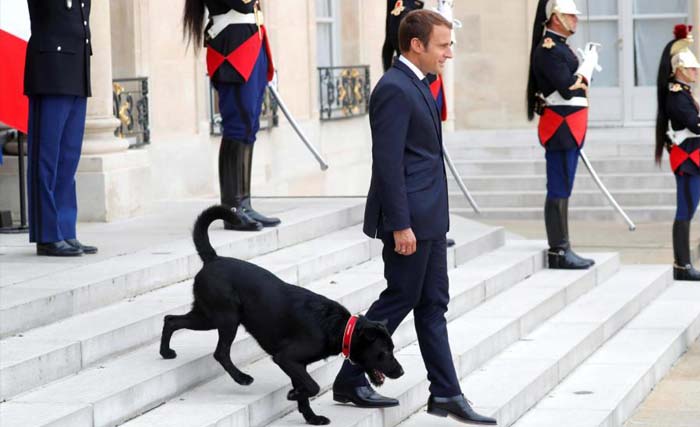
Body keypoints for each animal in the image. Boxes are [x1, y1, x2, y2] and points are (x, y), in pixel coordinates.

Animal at [161, 206, 404, 424]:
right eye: (384, 352)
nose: (401, 372)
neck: (339, 327)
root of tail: (213, 259)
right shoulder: (286, 358)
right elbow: (312, 386)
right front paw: (294, 395)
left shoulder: (297, 364)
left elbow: (305, 390)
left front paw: (311, 417)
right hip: (224, 318)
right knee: (219, 352)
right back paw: (241, 378)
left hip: (205, 315)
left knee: (171, 320)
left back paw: (166, 352)